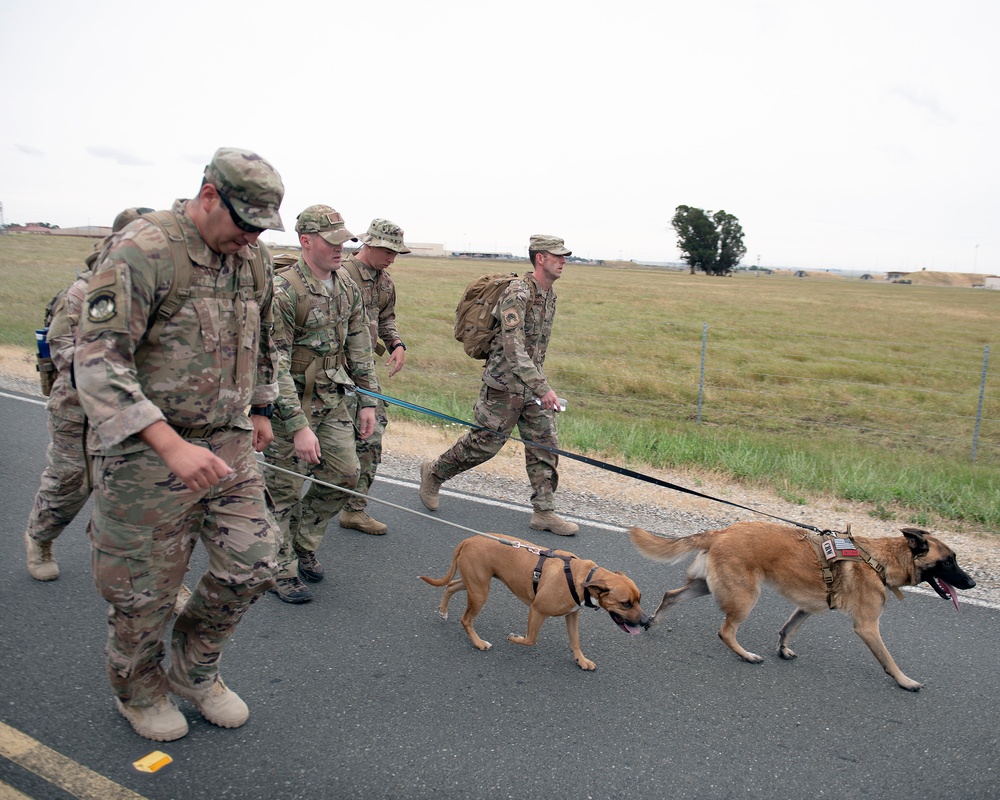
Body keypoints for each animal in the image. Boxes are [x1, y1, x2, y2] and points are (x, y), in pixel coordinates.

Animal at [420, 536, 648, 672]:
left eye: (639, 599)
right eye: (625, 604)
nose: (646, 622)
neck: (585, 577)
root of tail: (469, 539)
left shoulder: (572, 615)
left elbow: (575, 641)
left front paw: (581, 660)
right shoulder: (537, 610)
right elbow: (530, 640)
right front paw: (514, 638)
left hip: (474, 584)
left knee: (450, 586)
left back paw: (443, 610)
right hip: (480, 592)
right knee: (466, 619)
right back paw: (478, 643)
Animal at [632, 524, 976, 688]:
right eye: (948, 561)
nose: (972, 583)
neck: (880, 559)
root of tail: (722, 531)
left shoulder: (808, 608)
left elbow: (787, 629)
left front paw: (783, 649)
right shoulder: (867, 627)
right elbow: (889, 660)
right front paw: (905, 681)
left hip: (705, 587)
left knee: (670, 595)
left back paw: (652, 621)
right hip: (745, 597)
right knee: (725, 631)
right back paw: (746, 655)